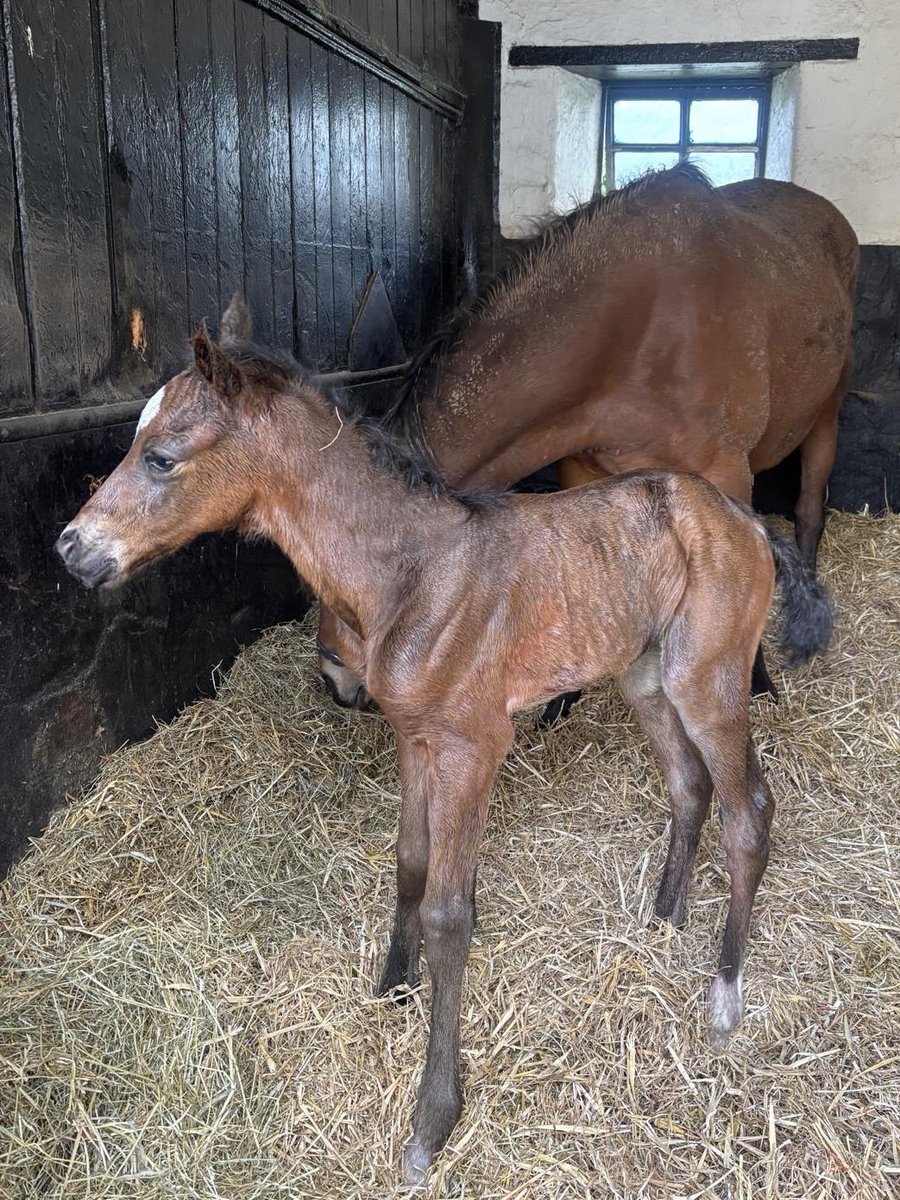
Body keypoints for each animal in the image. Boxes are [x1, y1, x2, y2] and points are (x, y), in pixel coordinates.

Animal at [56, 313, 833, 1184]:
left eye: (161, 456)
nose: (71, 548)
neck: (413, 572)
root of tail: (747, 519)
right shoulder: (415, 738)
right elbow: (410, 862)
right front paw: (390, 985)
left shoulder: (472, 746)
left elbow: (449, 915)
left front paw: (432, 1120)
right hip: (645, 676)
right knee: (687, 785)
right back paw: (662, 918)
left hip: (709, 678)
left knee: (749, 810)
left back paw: (724, 991)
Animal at [315, 163, 858, 719]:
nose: (333, 679)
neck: (635, 336)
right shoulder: (582, 470)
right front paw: (562, 700)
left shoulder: (726, 475)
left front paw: (755, 682)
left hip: (826, 417)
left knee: (809, 513)